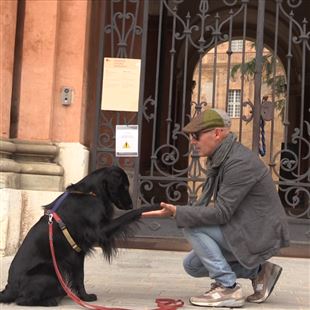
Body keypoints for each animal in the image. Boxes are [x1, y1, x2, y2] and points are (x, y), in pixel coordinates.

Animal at [0, 166, 159, 306]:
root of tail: (9, 288)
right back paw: (51, 301)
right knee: (22, 300)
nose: (131, 205)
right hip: (50, 270)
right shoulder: (99, 232)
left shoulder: (78, 254)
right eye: (125, 186)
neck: (91, 193)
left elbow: (79, 277)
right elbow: (128, 216)